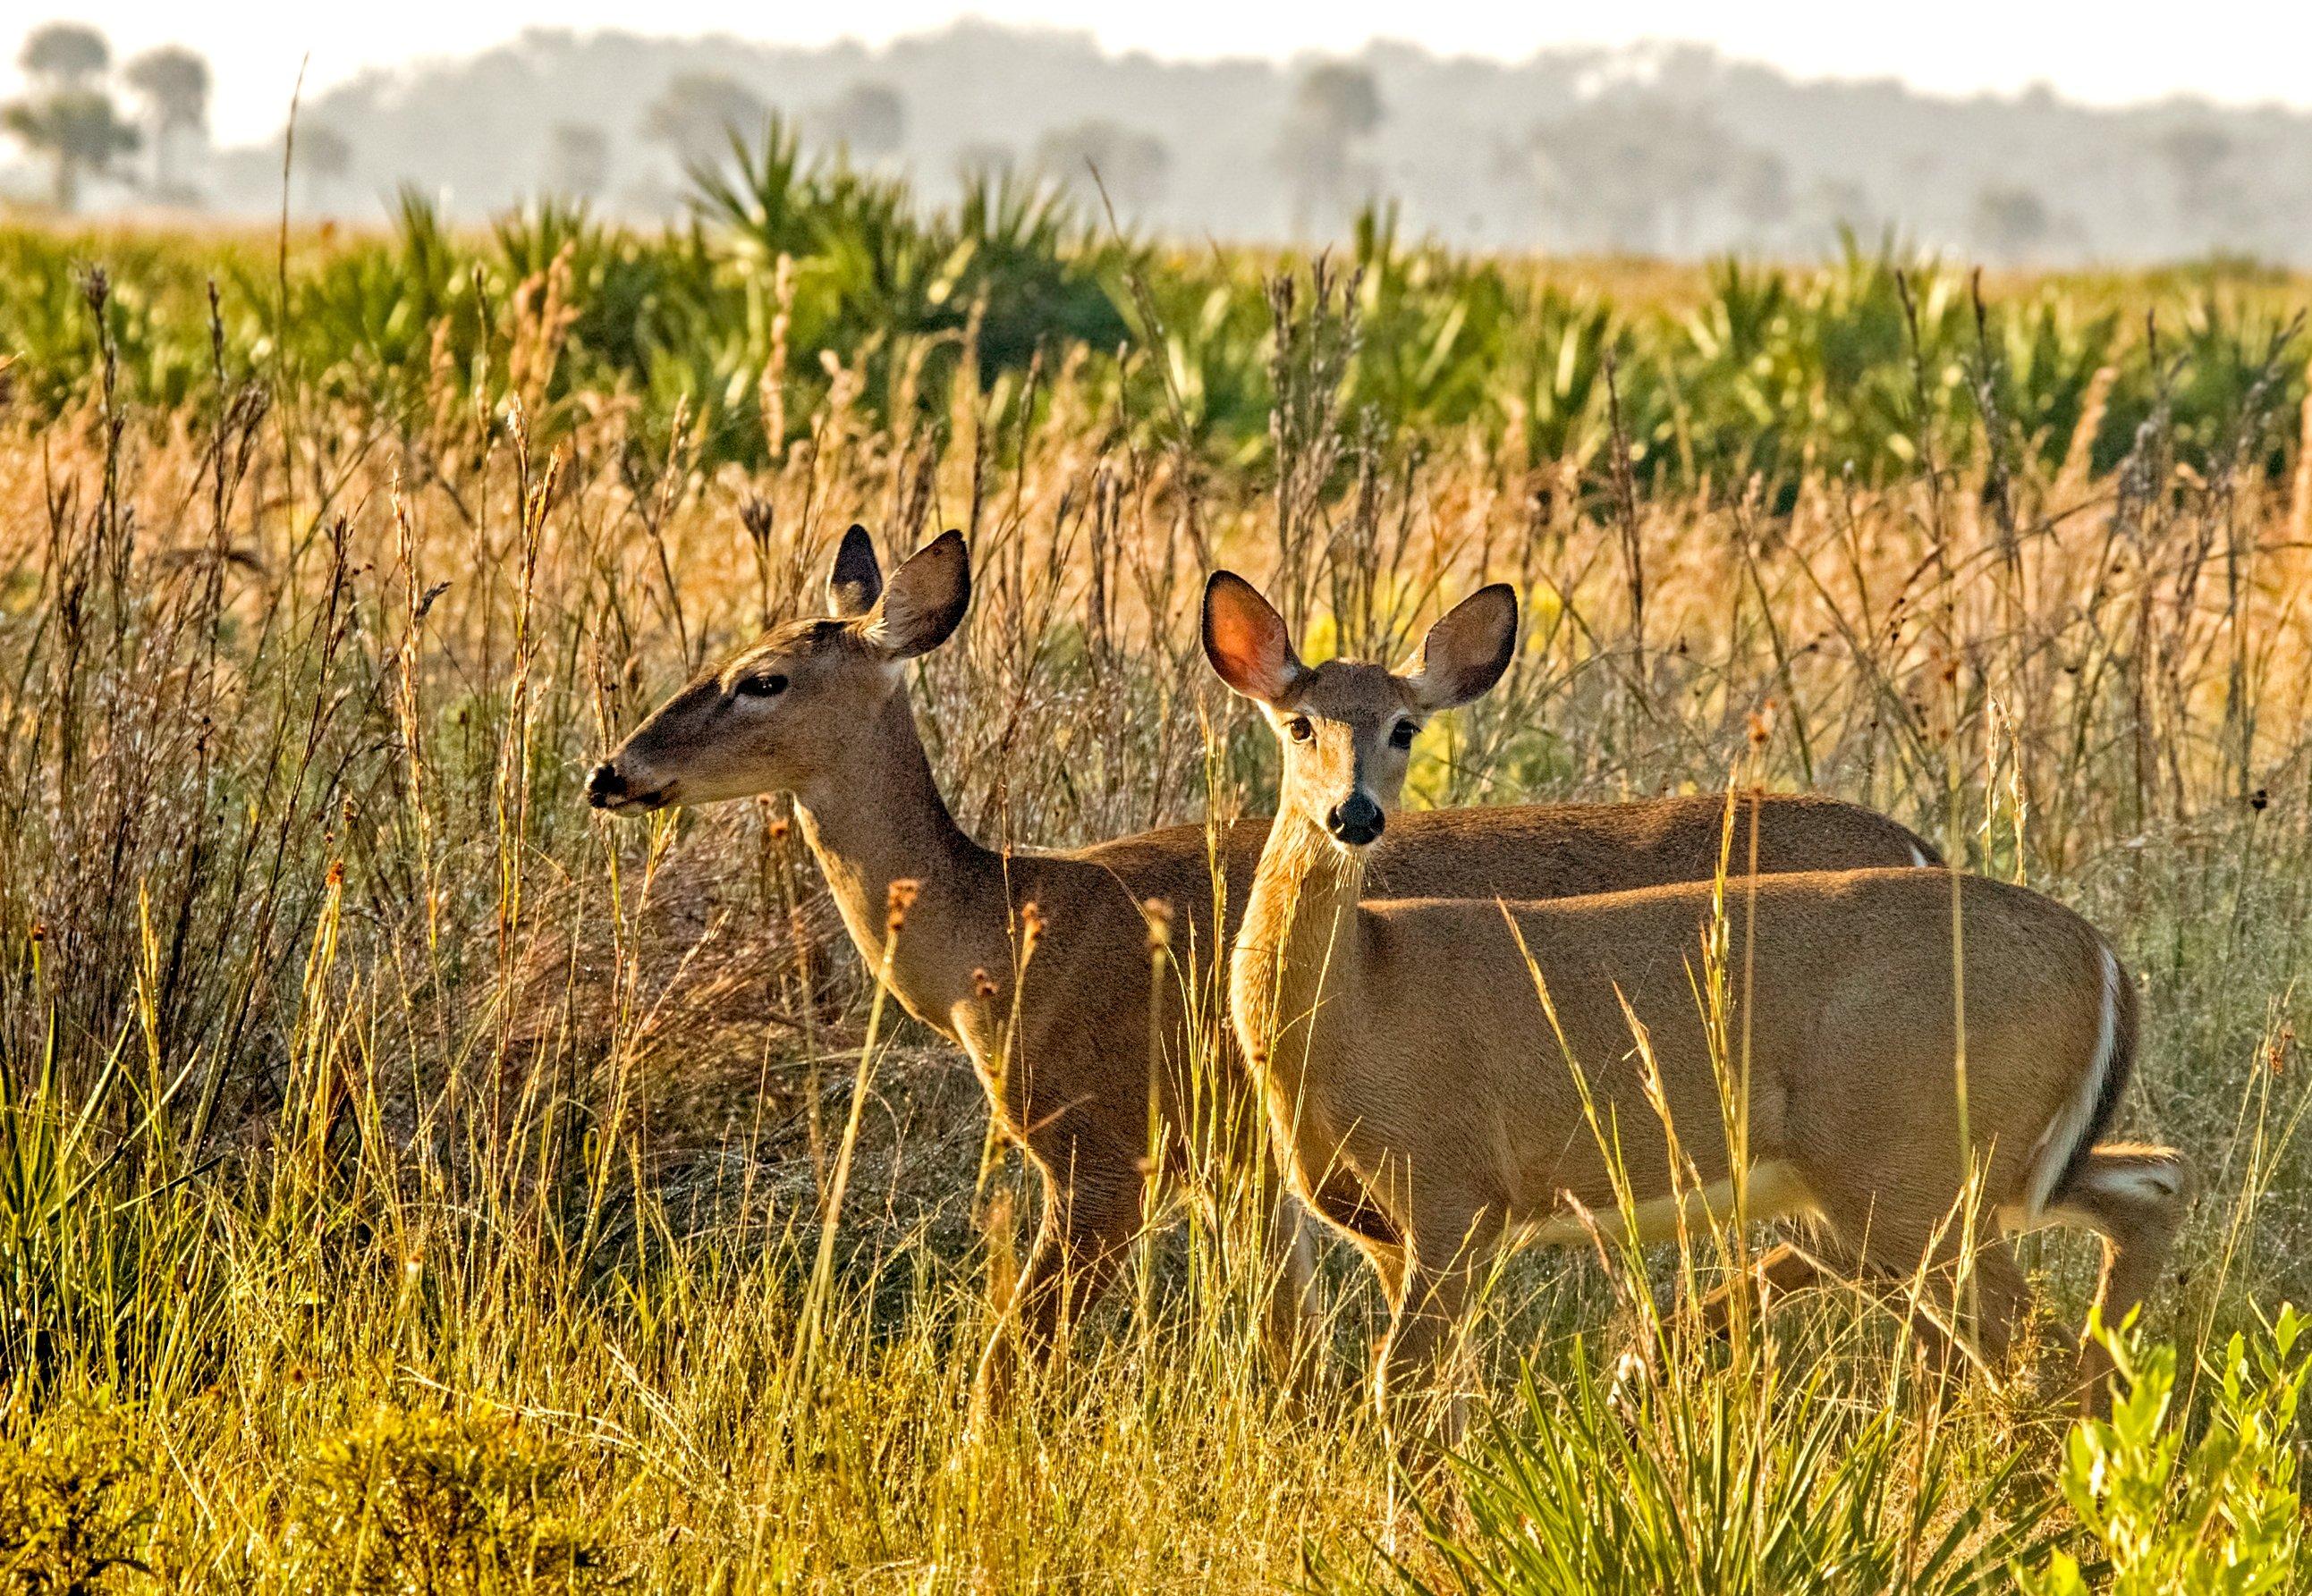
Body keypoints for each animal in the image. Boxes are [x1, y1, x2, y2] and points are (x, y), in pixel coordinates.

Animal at [591, 524, 1951, 1413]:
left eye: (761, 677)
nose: (613, 770)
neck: (1005, 933)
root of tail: (1928, 848)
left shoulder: (1110, 1145)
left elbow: (1009, 1365)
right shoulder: (1244, 1169)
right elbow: (1285, 1355)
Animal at [1202, 568, 2191, 1440]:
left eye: (1404, 727)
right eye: (1299, 724)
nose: (1354, 814)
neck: (1357, 1007)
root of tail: (2103, 961)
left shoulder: (1455, 1192)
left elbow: (1397, 1394)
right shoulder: (1382, 1232)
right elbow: (1433, 1401)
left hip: (1912, 1168)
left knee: (2028, 1349)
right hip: (1973, 1172)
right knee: (2148, 1184)